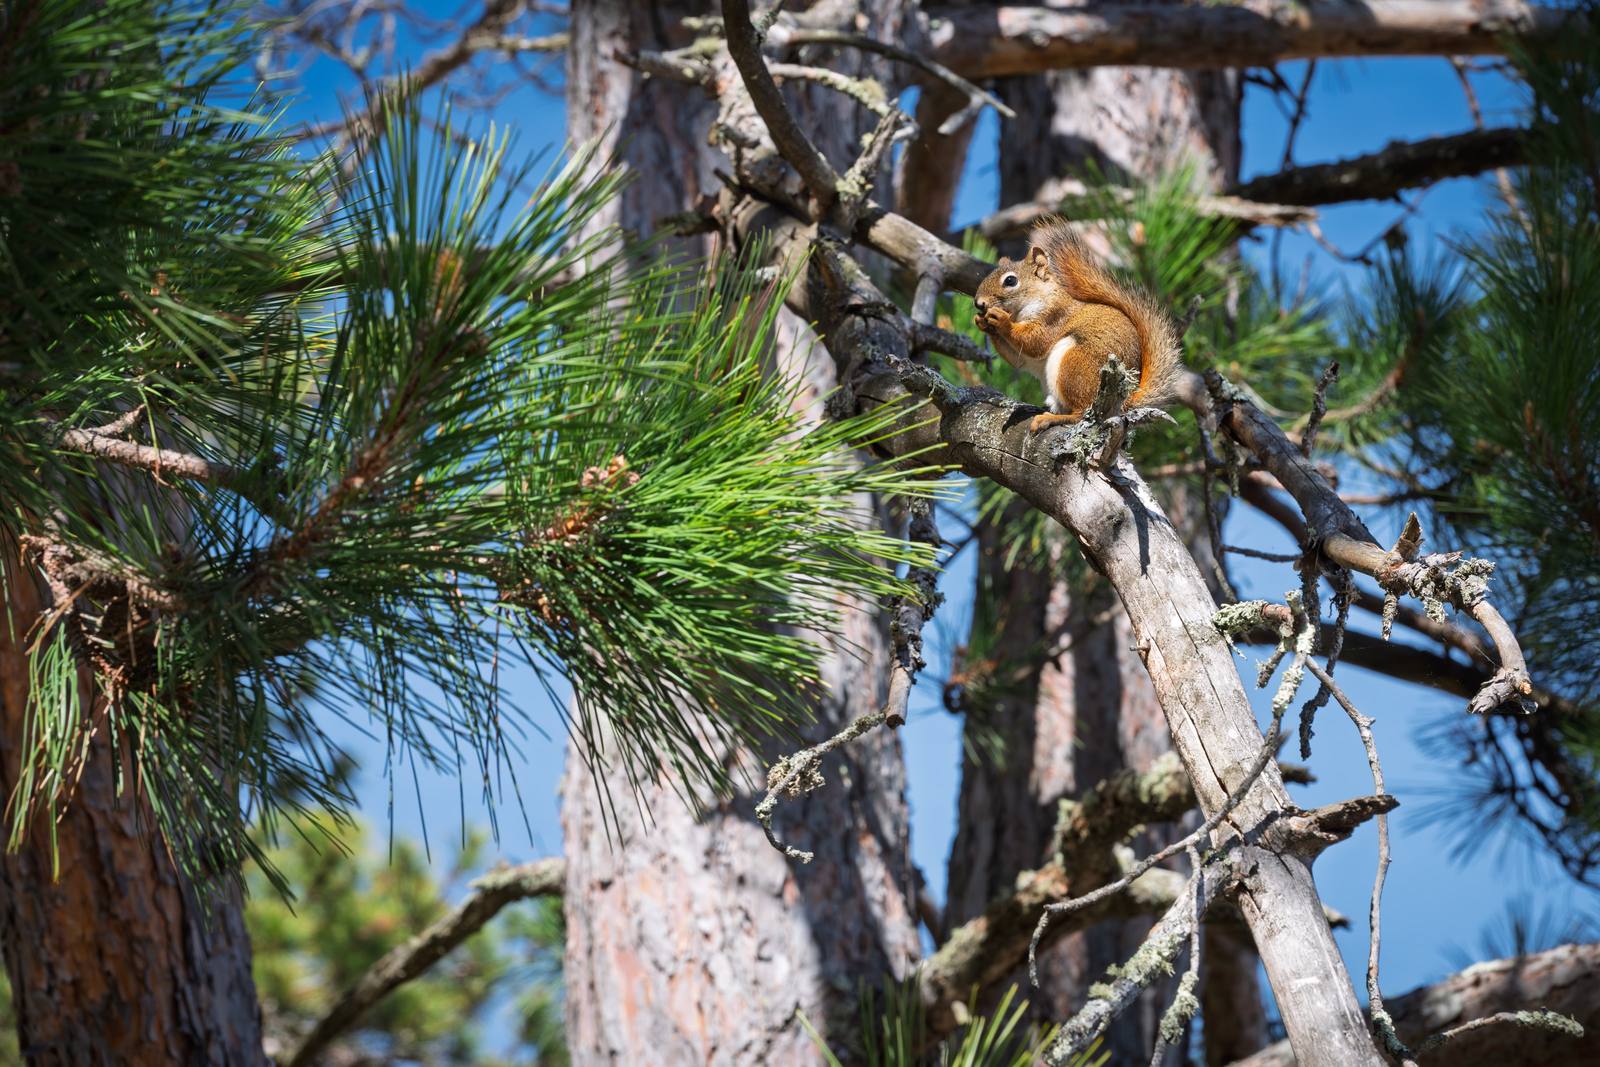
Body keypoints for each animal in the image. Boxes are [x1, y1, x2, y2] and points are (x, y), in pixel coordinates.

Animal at [973, 218, 1183, 433]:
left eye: (1010, 280)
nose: (979, 303)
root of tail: (1123, 404)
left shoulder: (1054, 317)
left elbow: (1036, 342)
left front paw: (1001, 321)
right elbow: (1019, 360)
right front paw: (982, 323)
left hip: (1076, 366)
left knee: (1081, 413)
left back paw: (1051, 419)